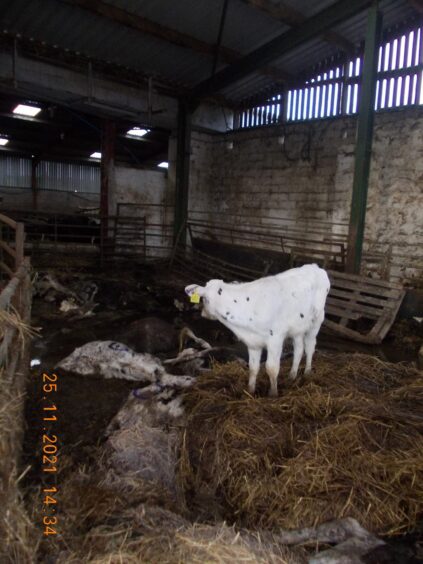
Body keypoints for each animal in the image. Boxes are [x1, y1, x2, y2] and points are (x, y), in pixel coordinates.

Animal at [186, 264, 332, 396]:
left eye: (203, 299)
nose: (202, 312)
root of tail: (315, 267)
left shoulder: (275, 339)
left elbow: (271, 368)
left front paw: (273, 394)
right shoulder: (253, 342)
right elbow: (253, 368)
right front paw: (250, 391)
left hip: (317, 320)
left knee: (310, 346)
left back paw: (307, 372)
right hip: (298, 327)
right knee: (299, 349)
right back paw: (292, 375)